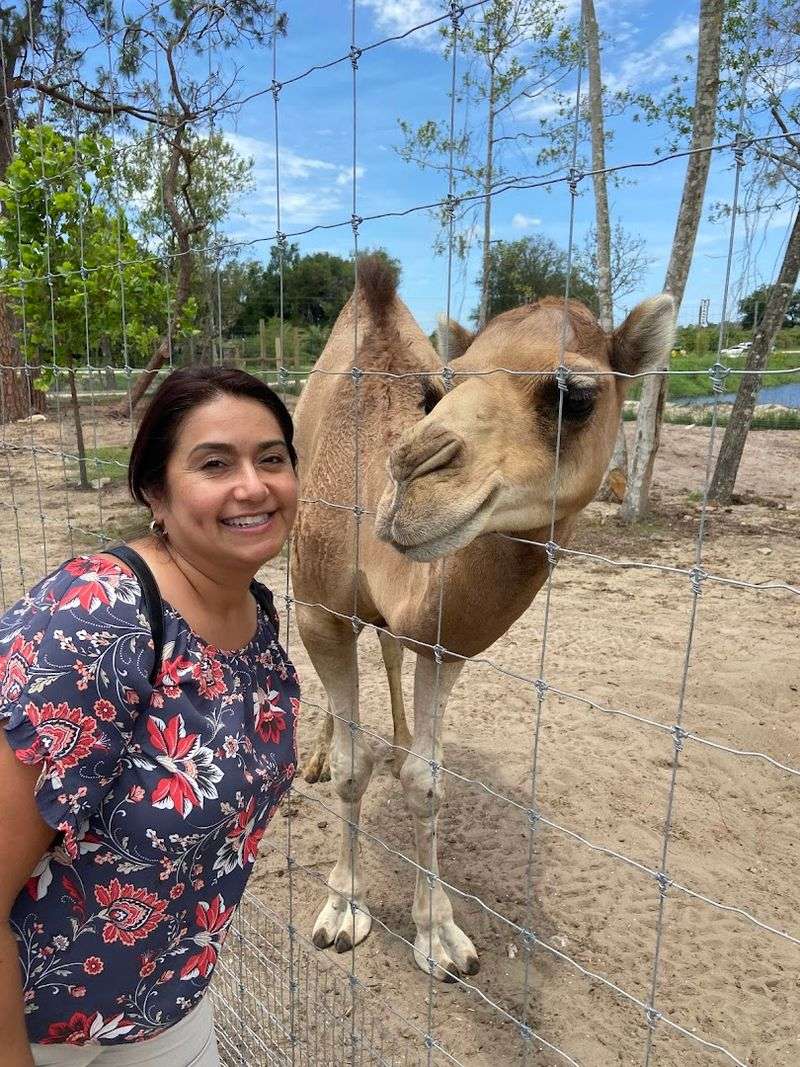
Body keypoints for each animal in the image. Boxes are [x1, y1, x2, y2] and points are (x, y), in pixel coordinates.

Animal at [290, 256, 673, 980]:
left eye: (575, 395)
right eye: (443, 388)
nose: (410, 476)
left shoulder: (444, 643)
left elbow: (427, 780)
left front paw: (439, 934)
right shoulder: (318, 609)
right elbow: (353, 768)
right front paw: (342, 909)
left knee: (388, 649)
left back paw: (399, 736)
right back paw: (318, 754)